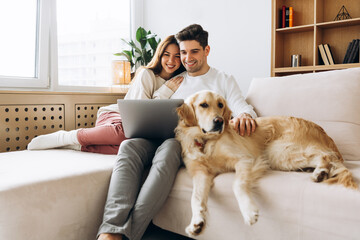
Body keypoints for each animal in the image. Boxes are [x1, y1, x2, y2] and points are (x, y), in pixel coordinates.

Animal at [175, 90, 358, 238]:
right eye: (203, 105)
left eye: (220, 105)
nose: (219, 121)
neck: (205, 140)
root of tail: (323, 132)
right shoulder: (201, 173)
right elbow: (195, 197)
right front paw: (197, 222)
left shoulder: (245, 159)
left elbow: (237, 184)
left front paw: (249, 211)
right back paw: (318, 171)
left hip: (277, 151)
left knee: (325, 156)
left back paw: (320, 172)